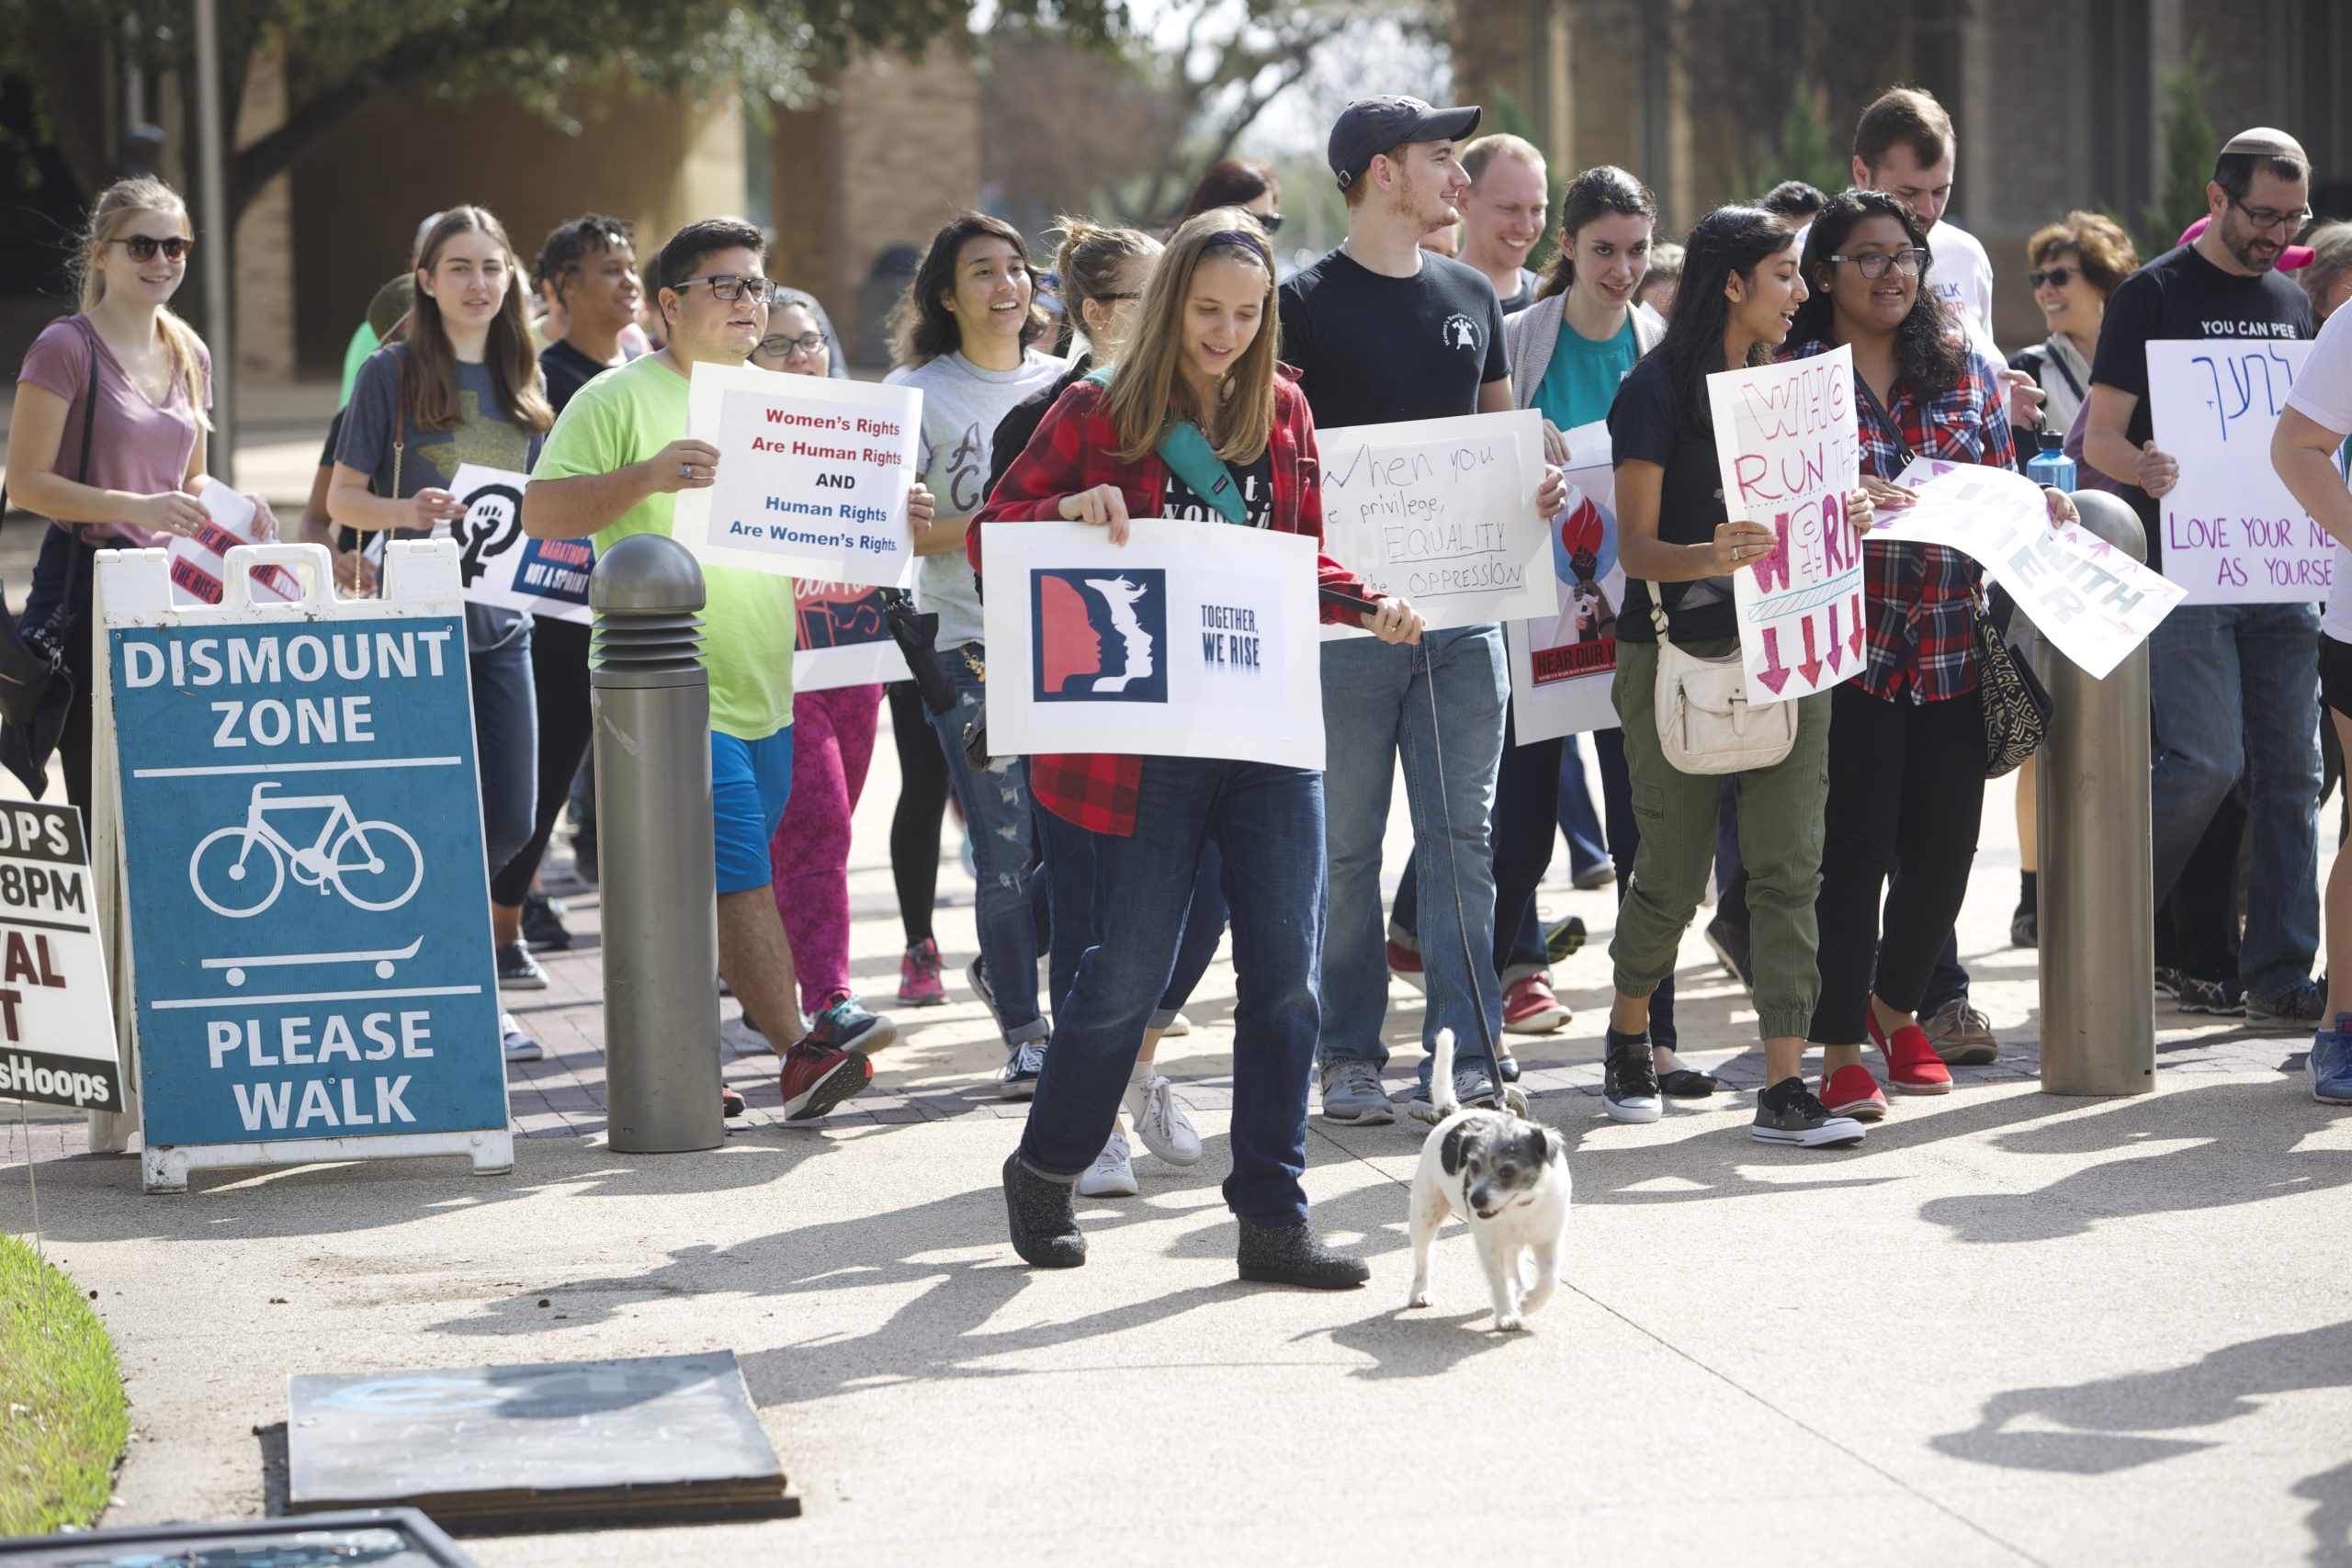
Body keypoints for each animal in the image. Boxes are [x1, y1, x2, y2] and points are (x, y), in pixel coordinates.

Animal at [1401, 1034, 1571, 1335]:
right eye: (1473, 1166)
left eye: (1507, 1171)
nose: (1475, 1200)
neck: (1521, 1206)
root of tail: (1451, 1114)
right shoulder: (1489, 1246)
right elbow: (1499, 1282)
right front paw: (1507, 1315)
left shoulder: (1548, 1240)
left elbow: (1550, 1279)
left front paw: (1529, 1302)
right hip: (1424, 1215)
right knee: (1423, 1257)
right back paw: (1420, 1293)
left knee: (1516, 1264)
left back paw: (1522, 1288)